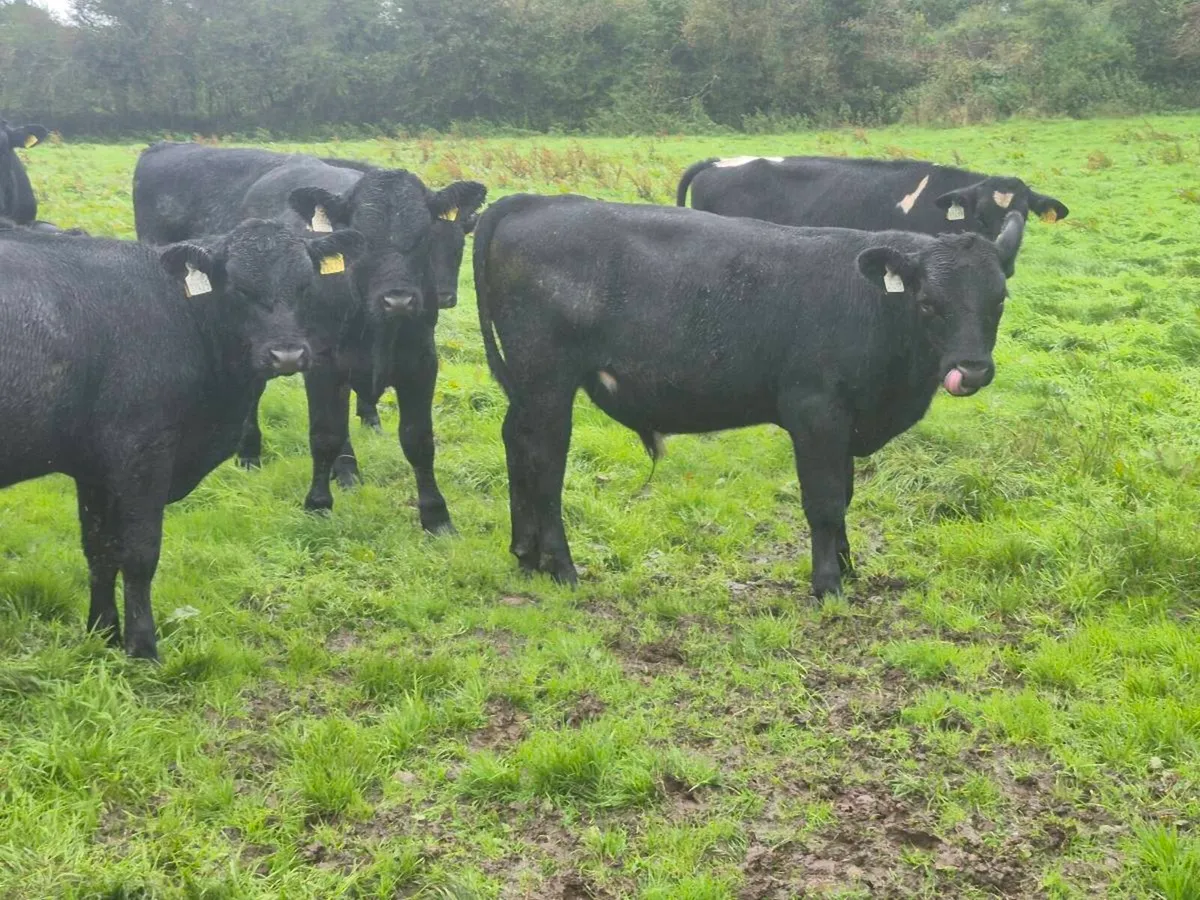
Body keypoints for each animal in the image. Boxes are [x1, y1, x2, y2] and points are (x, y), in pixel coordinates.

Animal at [0, 218, 362, 659]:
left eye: (305, 286)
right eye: (239, 289)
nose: (288, 355)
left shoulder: (94, 467)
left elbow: (99, 548)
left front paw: (102, 633)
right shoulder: (143, 452)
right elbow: (139, 553)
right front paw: (142, 648)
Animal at [474, 195, 1025, 597]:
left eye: (999, 300)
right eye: (928, 303)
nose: (972, 369)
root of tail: (537, 201)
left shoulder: (845, 421)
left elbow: (845, 494)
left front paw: (848, 568)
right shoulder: (815, 412)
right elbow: (824, 501)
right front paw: (827, 585)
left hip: (529, 388)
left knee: (516, 443)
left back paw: (525, 554)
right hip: (548, 381)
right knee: (545, 463)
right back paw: (561, 567)